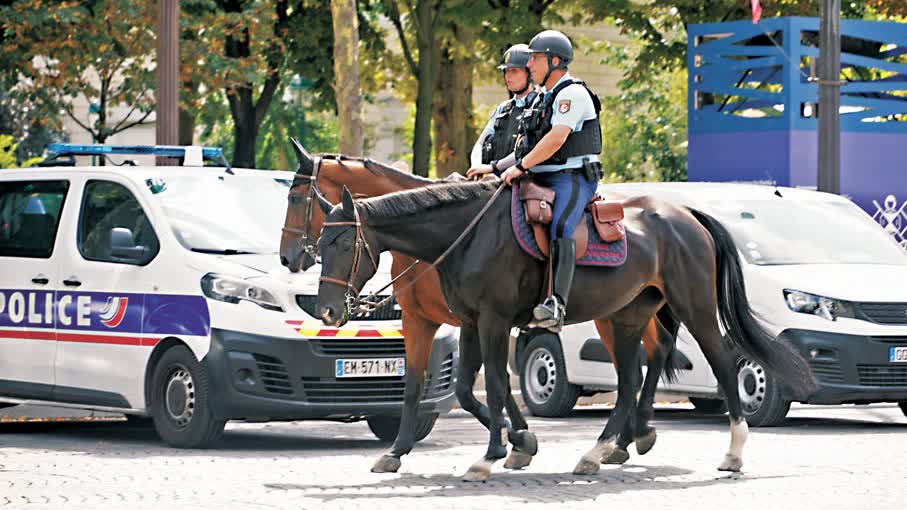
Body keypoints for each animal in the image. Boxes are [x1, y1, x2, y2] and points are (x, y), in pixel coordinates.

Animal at [312, 178, 816, 478]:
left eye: (343, 243)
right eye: (320, 243)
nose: (329, 312)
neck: (466, 234)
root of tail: (686, 214)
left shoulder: (493, 321)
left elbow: (496, 386)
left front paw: (493, 454)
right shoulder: (472, 322)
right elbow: (466, 389)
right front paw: (517, 441)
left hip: (694, 308)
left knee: (724, 365)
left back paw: (733, 451)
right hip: (626, 317)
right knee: (632, 378)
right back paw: (603, 450)